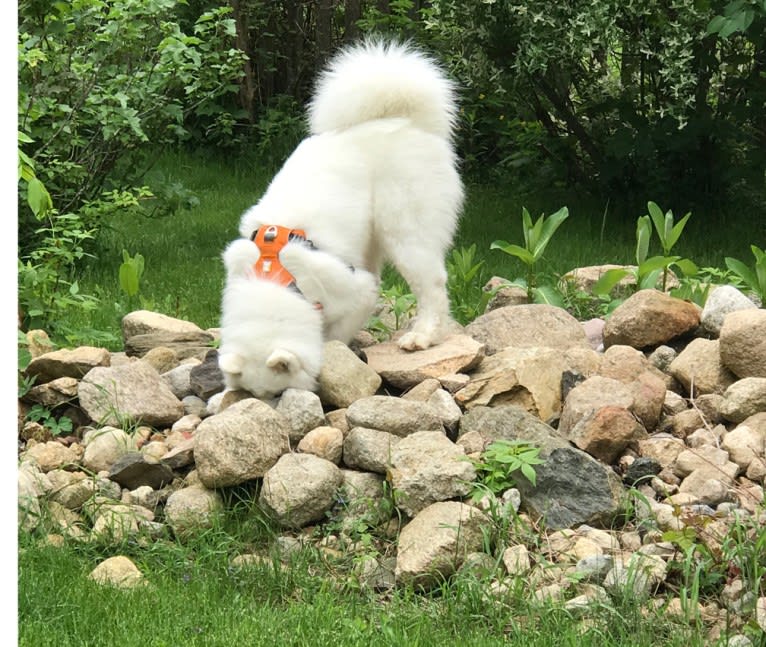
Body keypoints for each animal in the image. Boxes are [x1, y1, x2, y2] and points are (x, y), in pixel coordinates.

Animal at [219, 39, 464, 400]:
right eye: (254, 395)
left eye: (277, 394)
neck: (275, 276)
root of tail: (406, 121)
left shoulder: (357, 291)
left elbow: (337, 330)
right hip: (370, 241)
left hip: (404, 233)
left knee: (433, 286)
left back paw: (422, 337)